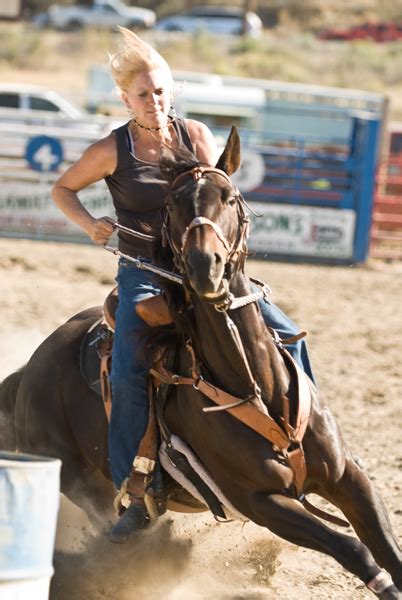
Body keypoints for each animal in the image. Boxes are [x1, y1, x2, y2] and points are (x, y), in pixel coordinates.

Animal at [0, 129, 400, 596]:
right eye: (171, 205)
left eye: (230, 197)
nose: (203, 265)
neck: (254, 385)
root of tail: (27, 372)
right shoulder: (262, 502)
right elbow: (354, 549)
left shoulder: (348, 477)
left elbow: (387, 546)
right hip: (78, 480)